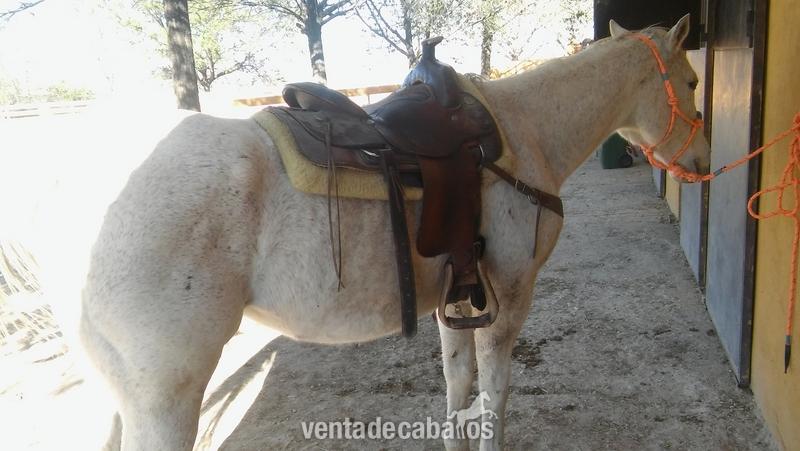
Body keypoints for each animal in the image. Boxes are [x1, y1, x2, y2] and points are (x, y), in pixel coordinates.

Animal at [68, 15, 709, 451]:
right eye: (692, 82)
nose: (704, 161)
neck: (524, 130)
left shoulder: (460, 296)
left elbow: (457, 384)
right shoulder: (510, 296)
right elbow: (495, 393)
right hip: (164, 397)